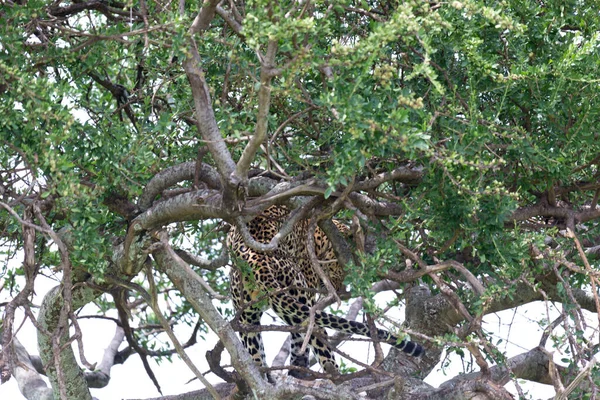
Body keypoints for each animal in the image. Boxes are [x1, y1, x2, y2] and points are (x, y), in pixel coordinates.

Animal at [227, 205, 424, 380]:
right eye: (342, 268)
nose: (339, 289)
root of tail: (257, 257)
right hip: (297, 293)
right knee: (317, 333)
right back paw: (335, 377)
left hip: (250, 312)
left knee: (256, 347)